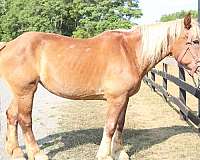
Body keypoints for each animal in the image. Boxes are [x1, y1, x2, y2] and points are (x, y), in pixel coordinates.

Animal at [0, 14, 199, 160]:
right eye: (195, 41)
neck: (130, 52)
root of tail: (9, 44)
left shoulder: (124, 98)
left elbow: (120, 124)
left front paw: (120, 152)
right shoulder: (115, 99)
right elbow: (110, 126)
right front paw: (105, 155)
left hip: (19, 93)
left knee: (12, 116)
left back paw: (15, 152)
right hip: (26, 91)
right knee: (25, 120)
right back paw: (37, 154)